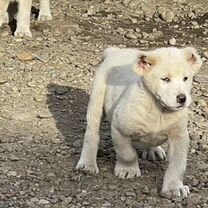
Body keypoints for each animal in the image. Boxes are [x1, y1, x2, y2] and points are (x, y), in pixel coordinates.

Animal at [76, 46, 202, 199]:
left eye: (185, 78)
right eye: (165, 79)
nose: (182, 98)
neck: (159, 109)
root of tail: (115, 50)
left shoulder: (180, 137)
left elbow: (178, 164)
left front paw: (174, 188)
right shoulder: (119, 128)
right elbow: (127, 153)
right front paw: (127, 170)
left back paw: (154, 150)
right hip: (97, 97)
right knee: (92, 132)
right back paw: (87, 164)